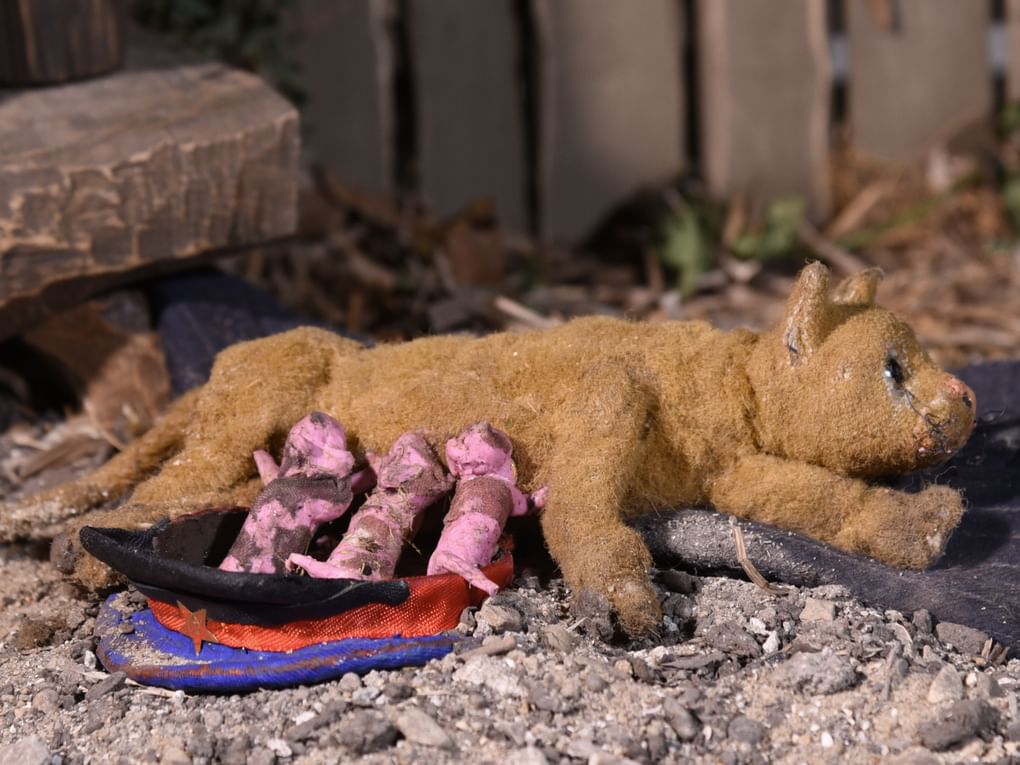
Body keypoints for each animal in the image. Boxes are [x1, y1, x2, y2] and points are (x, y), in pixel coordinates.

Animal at [0, 267, 971, 636]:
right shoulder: (612, 395)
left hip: (251, 446)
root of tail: (218, 368)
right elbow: (585, 508)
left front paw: (920, 524)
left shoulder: (740, 468)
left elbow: (819, 499)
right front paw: (618, 595)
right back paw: (89, 554)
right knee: (169, 482)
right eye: (893, 368)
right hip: (252, 404)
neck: (739, 379)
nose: (964, 402)